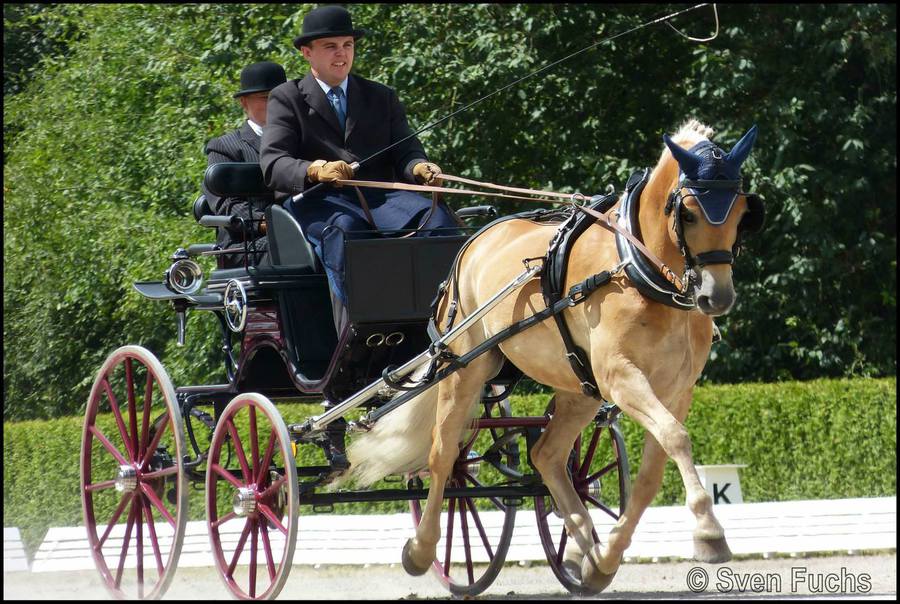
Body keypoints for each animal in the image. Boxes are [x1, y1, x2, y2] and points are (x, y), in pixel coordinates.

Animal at [343, 119, 762, 593]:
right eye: (688, 212)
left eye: (742, 213)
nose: (716, 296)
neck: (639, 272)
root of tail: (474, 242)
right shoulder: (621, 377)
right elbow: (676, 438)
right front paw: (709, 531)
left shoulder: (676, 389)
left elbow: (653, 471)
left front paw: (607, 555)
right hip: (465, 368)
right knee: (443, 454)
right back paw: (421, 549)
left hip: (580, 390)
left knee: (545, 454)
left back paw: (583, 544)